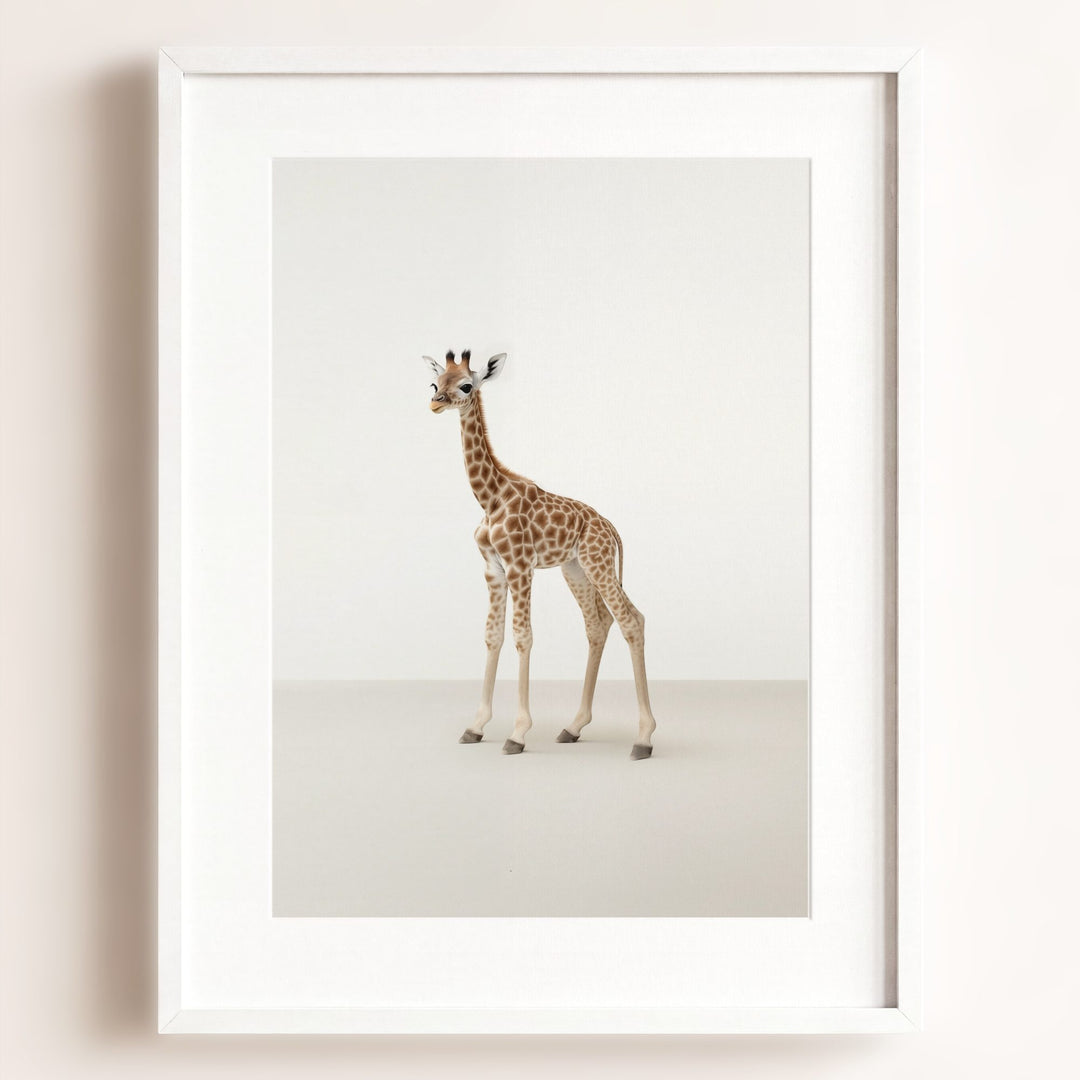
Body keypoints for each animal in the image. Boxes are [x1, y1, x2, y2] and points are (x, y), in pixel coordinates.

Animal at [426, 349, 657, 760]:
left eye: (466, 385)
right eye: (434, 383)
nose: (435, 403)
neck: (490, 498)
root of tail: (610, 527)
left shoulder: (521, 566)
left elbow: (523, 636)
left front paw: (517, 733)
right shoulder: (493, 569)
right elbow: (493, 635)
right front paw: (475, 727)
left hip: (598, 563)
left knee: (631, 620)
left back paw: (643, 739)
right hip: (576, 569)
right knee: (599, 624)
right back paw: (573, 726)